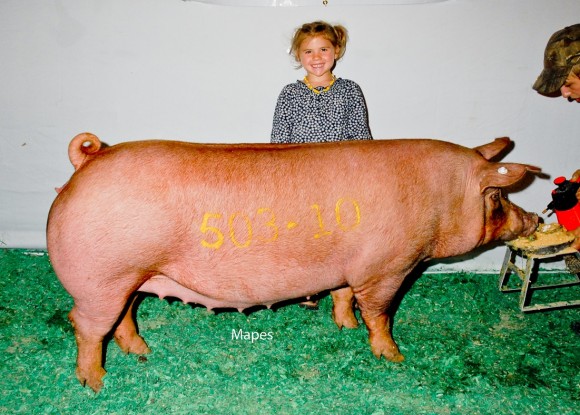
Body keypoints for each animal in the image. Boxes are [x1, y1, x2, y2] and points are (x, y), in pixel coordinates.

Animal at [46, 134, 540, 394]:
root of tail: (88, 159)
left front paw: (344, 327)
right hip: (100, 279)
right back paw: (96, 382)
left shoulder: (349, 267)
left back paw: (141, 352)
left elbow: (343, 295)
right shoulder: (388, 269)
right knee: (85, 325)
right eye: (497, 198)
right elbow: (379, 313)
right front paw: (394, 356)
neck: (440, 198)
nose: (534, 218)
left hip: (130, 278)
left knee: (123, 318)